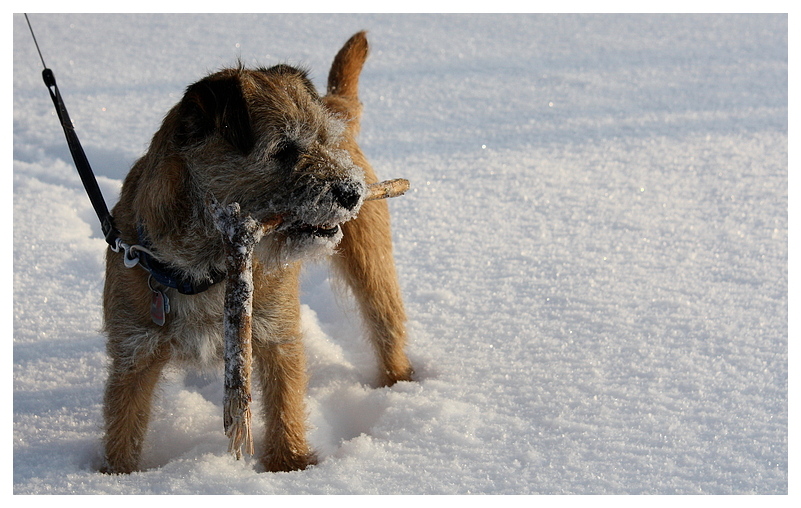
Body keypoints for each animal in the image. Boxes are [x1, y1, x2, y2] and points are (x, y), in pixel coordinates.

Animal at [100, 32, 412, 476]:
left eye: (322, 141)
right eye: (283, 149)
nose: (351, 192)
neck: (204, 268)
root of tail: (333, 104)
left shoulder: (276, 336)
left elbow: (285, 406)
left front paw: (290, 466)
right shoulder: (134, 354)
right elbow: (123, 424)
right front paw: (116, 478)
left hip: (370, 260)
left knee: (385, 321)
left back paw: (397, 386)